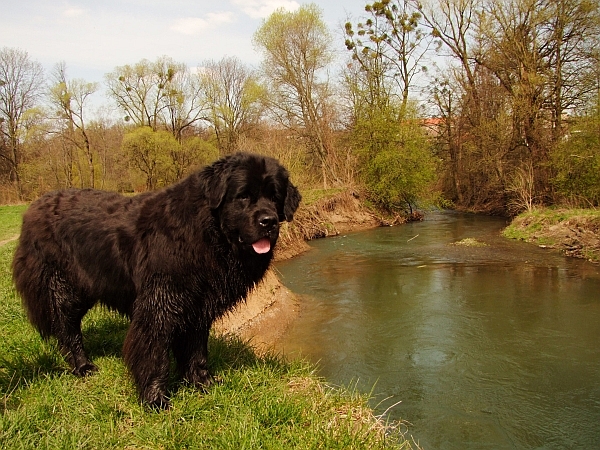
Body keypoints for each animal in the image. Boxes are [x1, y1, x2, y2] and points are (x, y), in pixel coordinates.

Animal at [12, 152, 301, 409]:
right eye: (243, 196)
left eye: (275, 196)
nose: (268, 221)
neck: (208, 234)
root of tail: (34, 207)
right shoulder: (160, 304)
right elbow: (154, 353)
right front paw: (155, 399)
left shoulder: (198, 306)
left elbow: (196, 350)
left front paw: (202, 383)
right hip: (61, 287)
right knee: (67, 328)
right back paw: (82, 366)